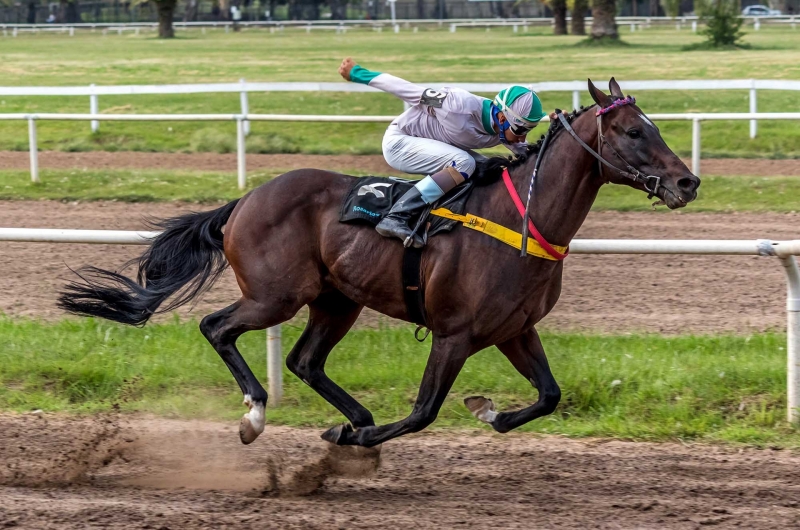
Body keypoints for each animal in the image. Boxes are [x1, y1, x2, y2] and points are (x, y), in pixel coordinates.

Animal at [59, 79, 700, 446]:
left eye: (654, 126)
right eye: (632, 130)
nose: (688, 182)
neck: (524, 219)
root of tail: (245, 200)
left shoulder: (514, 329)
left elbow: (549, 395)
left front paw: (489, 413)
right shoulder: (454, 333)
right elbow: (422, 412)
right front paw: (352, 439)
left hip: (335, 299)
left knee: (305, 360)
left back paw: (354, 414)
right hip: (275, 295)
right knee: (217, 327)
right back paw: (257, 415)